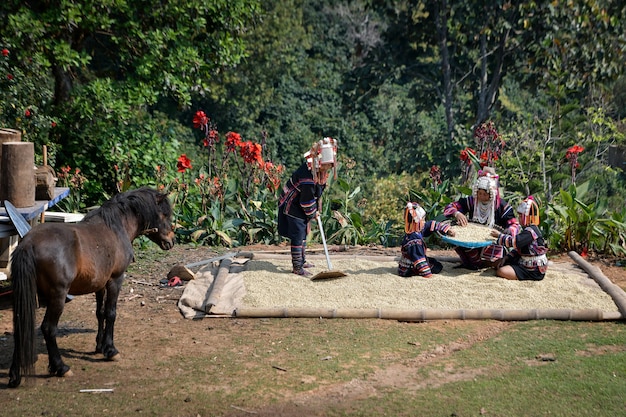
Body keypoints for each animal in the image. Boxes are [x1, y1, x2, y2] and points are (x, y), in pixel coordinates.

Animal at [8, 187, 176, 386]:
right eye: (164, 214)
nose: (171, 241)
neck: (116, 228)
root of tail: (28, 244)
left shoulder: (100, 285)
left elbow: (100, 313)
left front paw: (99, 346)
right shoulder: (115, 280)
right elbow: (111, 313)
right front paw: (110, 350)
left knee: (21, 327)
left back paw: (15, 375)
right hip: (57, 297)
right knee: (48, 329)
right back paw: (61, 367)